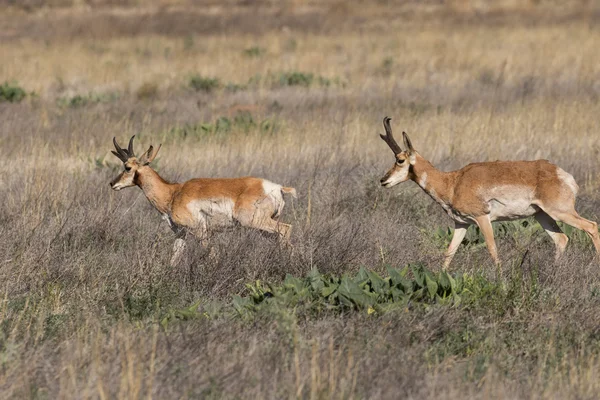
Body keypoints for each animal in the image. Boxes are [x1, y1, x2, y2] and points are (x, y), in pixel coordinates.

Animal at [109, 137, 296, 266]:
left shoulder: (200, 231)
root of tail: (277, 188)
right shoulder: (181, 234)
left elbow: (212, 255)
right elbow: (174, 259)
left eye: (127, 167)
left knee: (286, 229)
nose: (112, 183)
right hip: (263, 228)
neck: (174, 192)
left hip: (255, 222)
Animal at [380, 117, 600, 270]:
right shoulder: (461, 224)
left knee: (592, 226)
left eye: (400, 160)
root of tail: (561, 173)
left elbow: (492, 250)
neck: (453, 181)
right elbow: (449, 252)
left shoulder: (482, 218)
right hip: (542, 215)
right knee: (561, 239)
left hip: (560, 212)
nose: (383, 180)